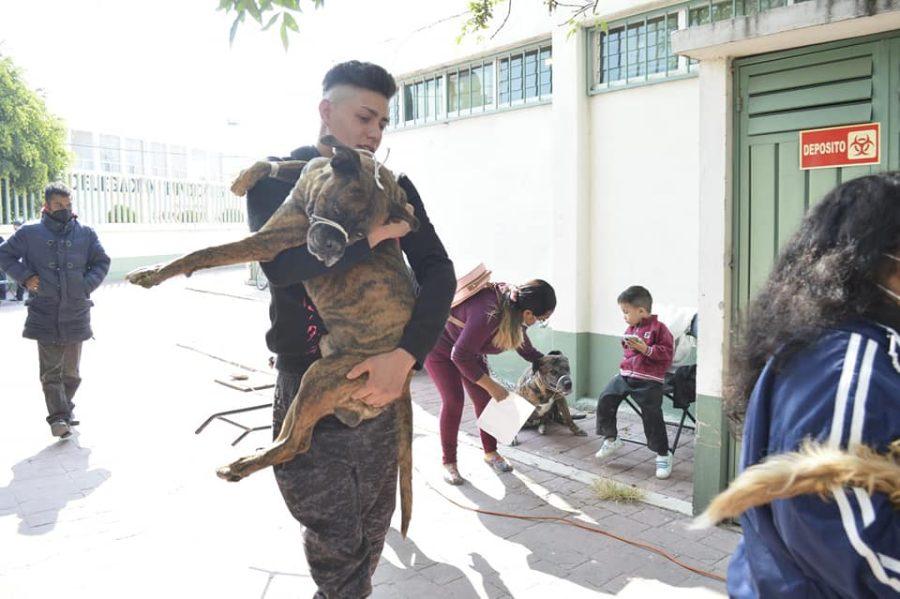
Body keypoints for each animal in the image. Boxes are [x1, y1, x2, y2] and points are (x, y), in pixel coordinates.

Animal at [125, 137, 420, 540]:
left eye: (363, 236)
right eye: (338, 209)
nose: (332, 251)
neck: (313, 193)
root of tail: (403, 381)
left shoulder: (268, 241)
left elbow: (204, 252)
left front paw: (153, 273)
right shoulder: (318, 169)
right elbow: (289, 161)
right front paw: (249, 174)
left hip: (323, 376)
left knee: (295, 443)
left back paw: (238, 467)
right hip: (313, 379)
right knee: (290, 436)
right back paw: (252, 457)